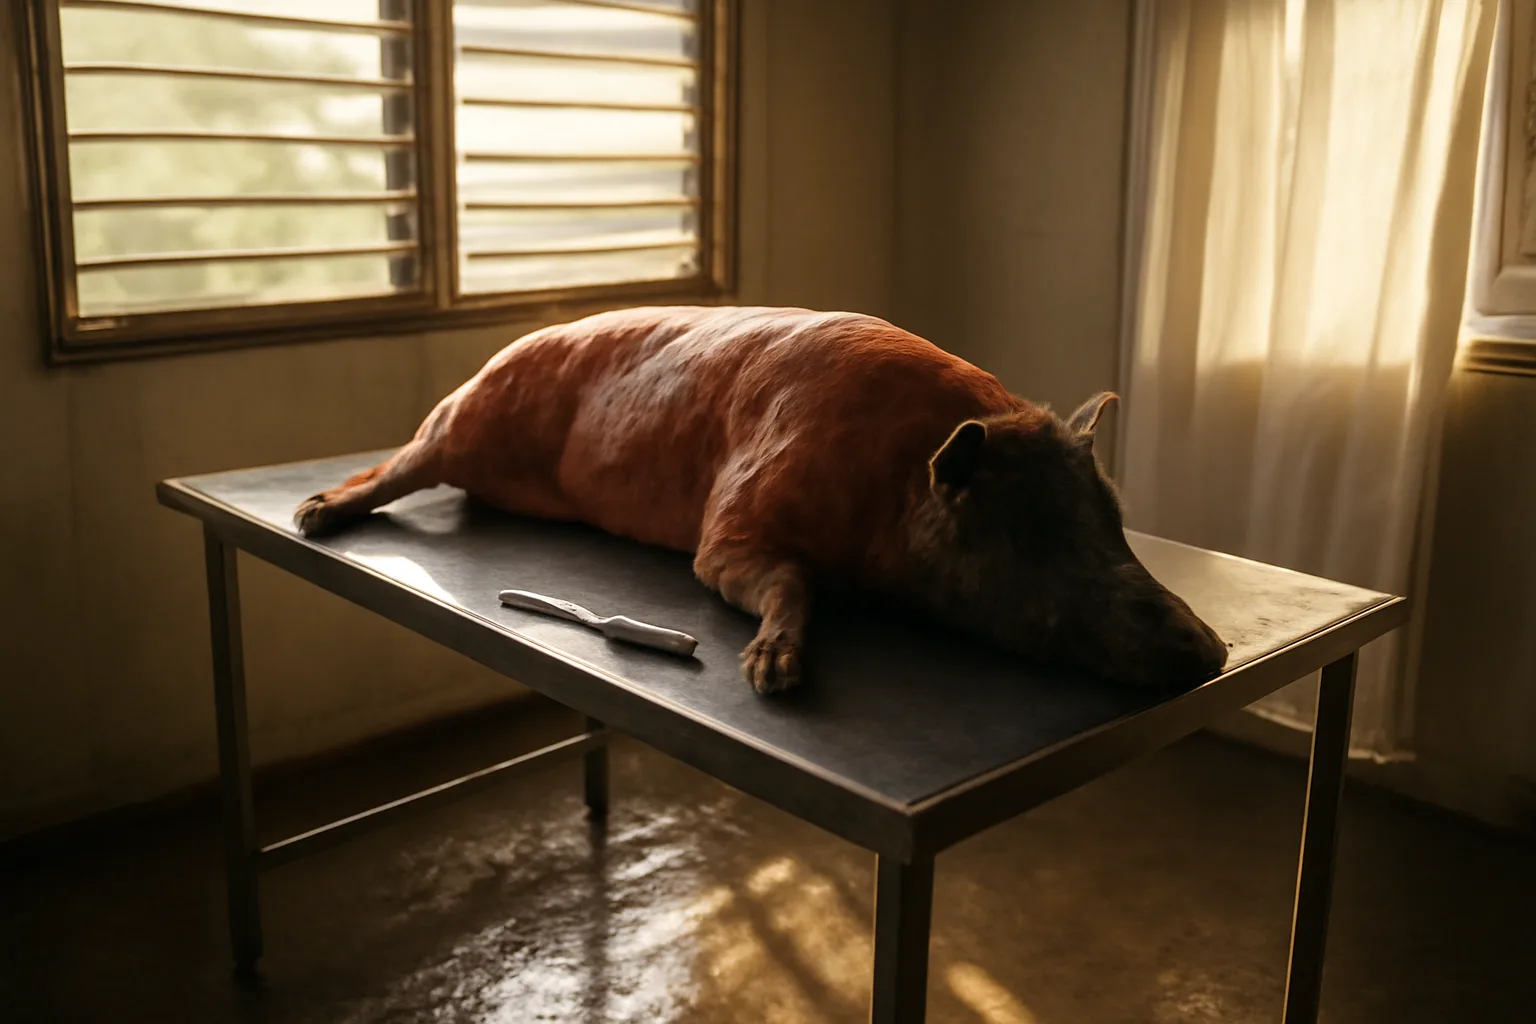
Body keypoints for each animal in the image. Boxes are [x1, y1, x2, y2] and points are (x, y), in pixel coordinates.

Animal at [294, 305, 1228, 693]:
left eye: (1112, 521)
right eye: (1030, 534)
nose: (1211, 650)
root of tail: (505, 347)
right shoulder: (732, 528)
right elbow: (786, 580)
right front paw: (773, 674)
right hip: (465, 417)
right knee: (402, 463)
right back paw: (314, 512)